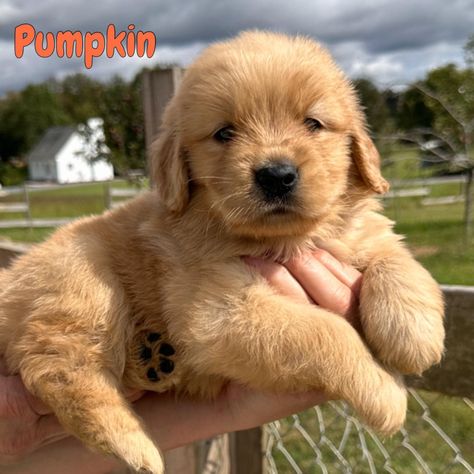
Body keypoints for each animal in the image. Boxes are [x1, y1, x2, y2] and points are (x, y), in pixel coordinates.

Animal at [0, 31, 444, 472]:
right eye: (224, 133)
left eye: (313, 123)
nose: (276, 175)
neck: (285, 238)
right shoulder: (218, 311)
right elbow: (327, 331)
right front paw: (384, 390)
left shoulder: (362, 236)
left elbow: (401, 263)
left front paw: (414, 333)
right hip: (82, 277)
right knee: (56, 362)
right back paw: (132, 444)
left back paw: (152, 359)